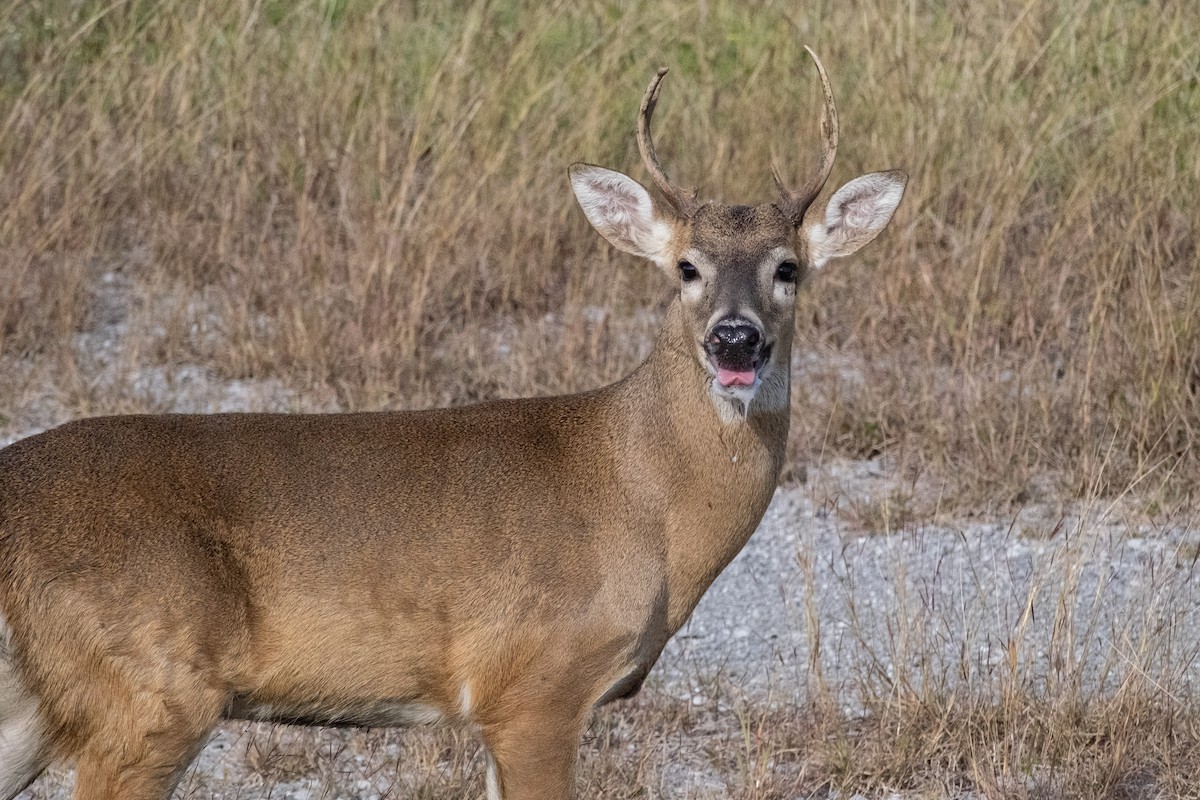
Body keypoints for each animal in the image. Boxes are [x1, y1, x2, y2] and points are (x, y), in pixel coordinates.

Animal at [0, 49, 904, 800]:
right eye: (686, 267)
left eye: (788, 269)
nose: (735, 338)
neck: (641, 495)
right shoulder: (536, 685)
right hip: (149, 693)